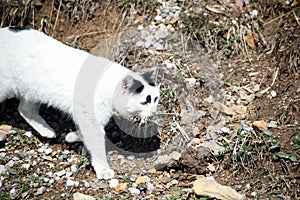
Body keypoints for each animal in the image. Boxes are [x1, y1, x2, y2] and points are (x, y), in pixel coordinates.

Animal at [0, 27, 159, 180]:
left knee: (24, 110)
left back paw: (46, 130)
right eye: (144, 102)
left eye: (156, 99)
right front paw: (103, 170)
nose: (154, 112)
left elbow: (84, 134)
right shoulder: (91, 121)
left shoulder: (88, 119)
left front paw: (71, 136)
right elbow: (96, 144)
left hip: (33, 91)